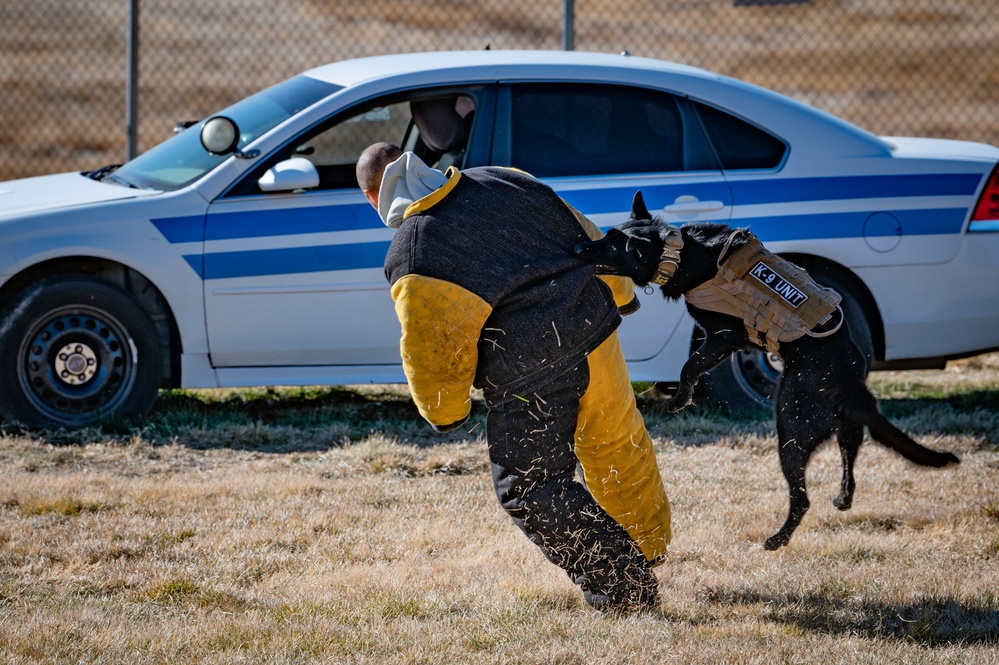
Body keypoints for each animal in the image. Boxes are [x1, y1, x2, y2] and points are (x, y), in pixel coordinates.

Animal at [580, 189, 960, 548]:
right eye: (606, 236)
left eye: (611, 246)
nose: (577, 246)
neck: (681, 251)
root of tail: (852, 390)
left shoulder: (723, 337)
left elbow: (691, 365)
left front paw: (679, 399)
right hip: (846, 430)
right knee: (850, 460)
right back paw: (842, 498)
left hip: (790, 429)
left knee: (803, 499)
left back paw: (778, 538)